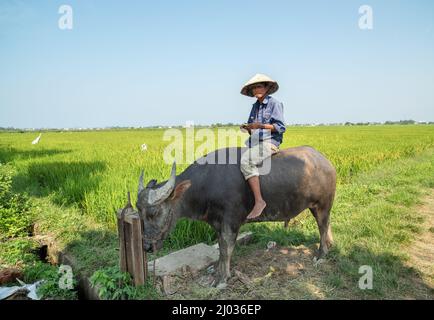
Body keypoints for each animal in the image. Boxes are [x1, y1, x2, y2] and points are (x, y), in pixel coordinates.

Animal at [136, 145, 336, 284]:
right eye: (139, 211)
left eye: (154, 212)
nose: (146, 246)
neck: (205, 185)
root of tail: (325, 161)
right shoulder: (217, 223)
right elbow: (220, 248)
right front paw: (216, 269)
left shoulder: (230, 222)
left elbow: (226, 249)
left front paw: (222, 279)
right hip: (317, 207)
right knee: (326, 225)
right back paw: (329, 245)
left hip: (323, 204)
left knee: (322, 226)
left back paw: (321, 255)